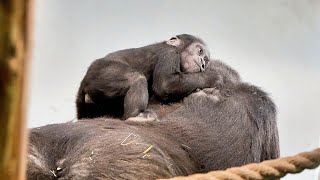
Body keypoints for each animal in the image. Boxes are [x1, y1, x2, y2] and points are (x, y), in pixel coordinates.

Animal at [76, 34, 219, 120]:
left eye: (206, 60)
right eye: (200, 51)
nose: (203, 64)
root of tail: (83, 84)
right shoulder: (169, 53)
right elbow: (166, 83)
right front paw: (212, 77)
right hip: (100, 74)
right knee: (136, 79)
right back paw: (135, 115)